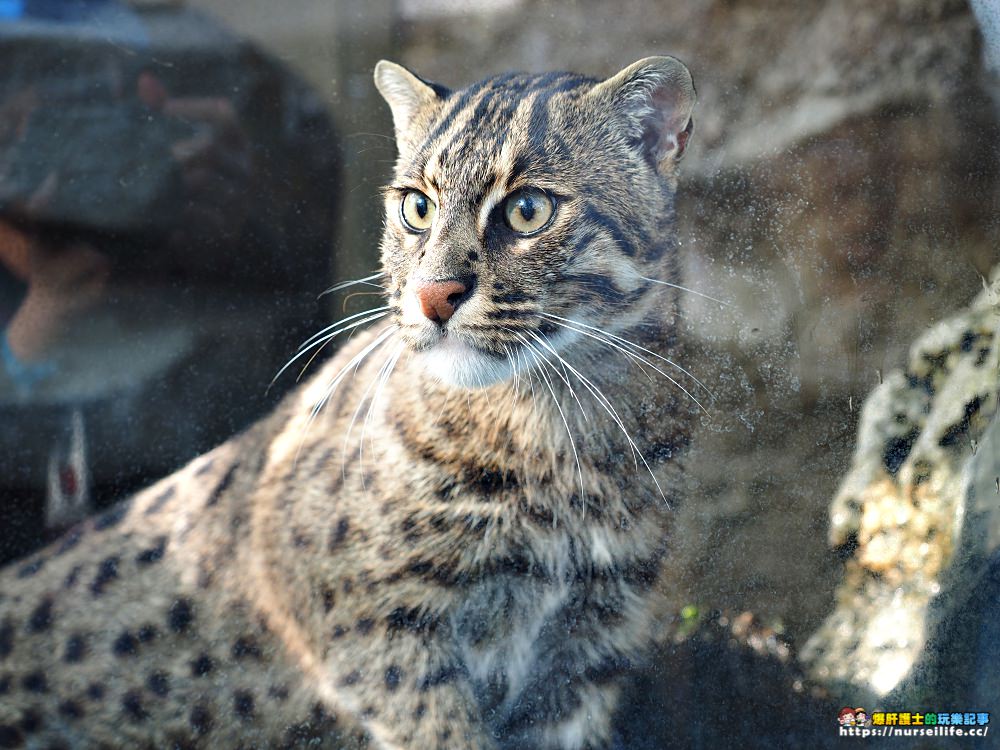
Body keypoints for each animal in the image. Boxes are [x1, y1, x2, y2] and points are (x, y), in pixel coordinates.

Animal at [0, 54, 700, 750]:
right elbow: (438, 732)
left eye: (528, 210)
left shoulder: (589, 642)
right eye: (417, 207)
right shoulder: (367, 624)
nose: (432, 295)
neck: (556, 423)